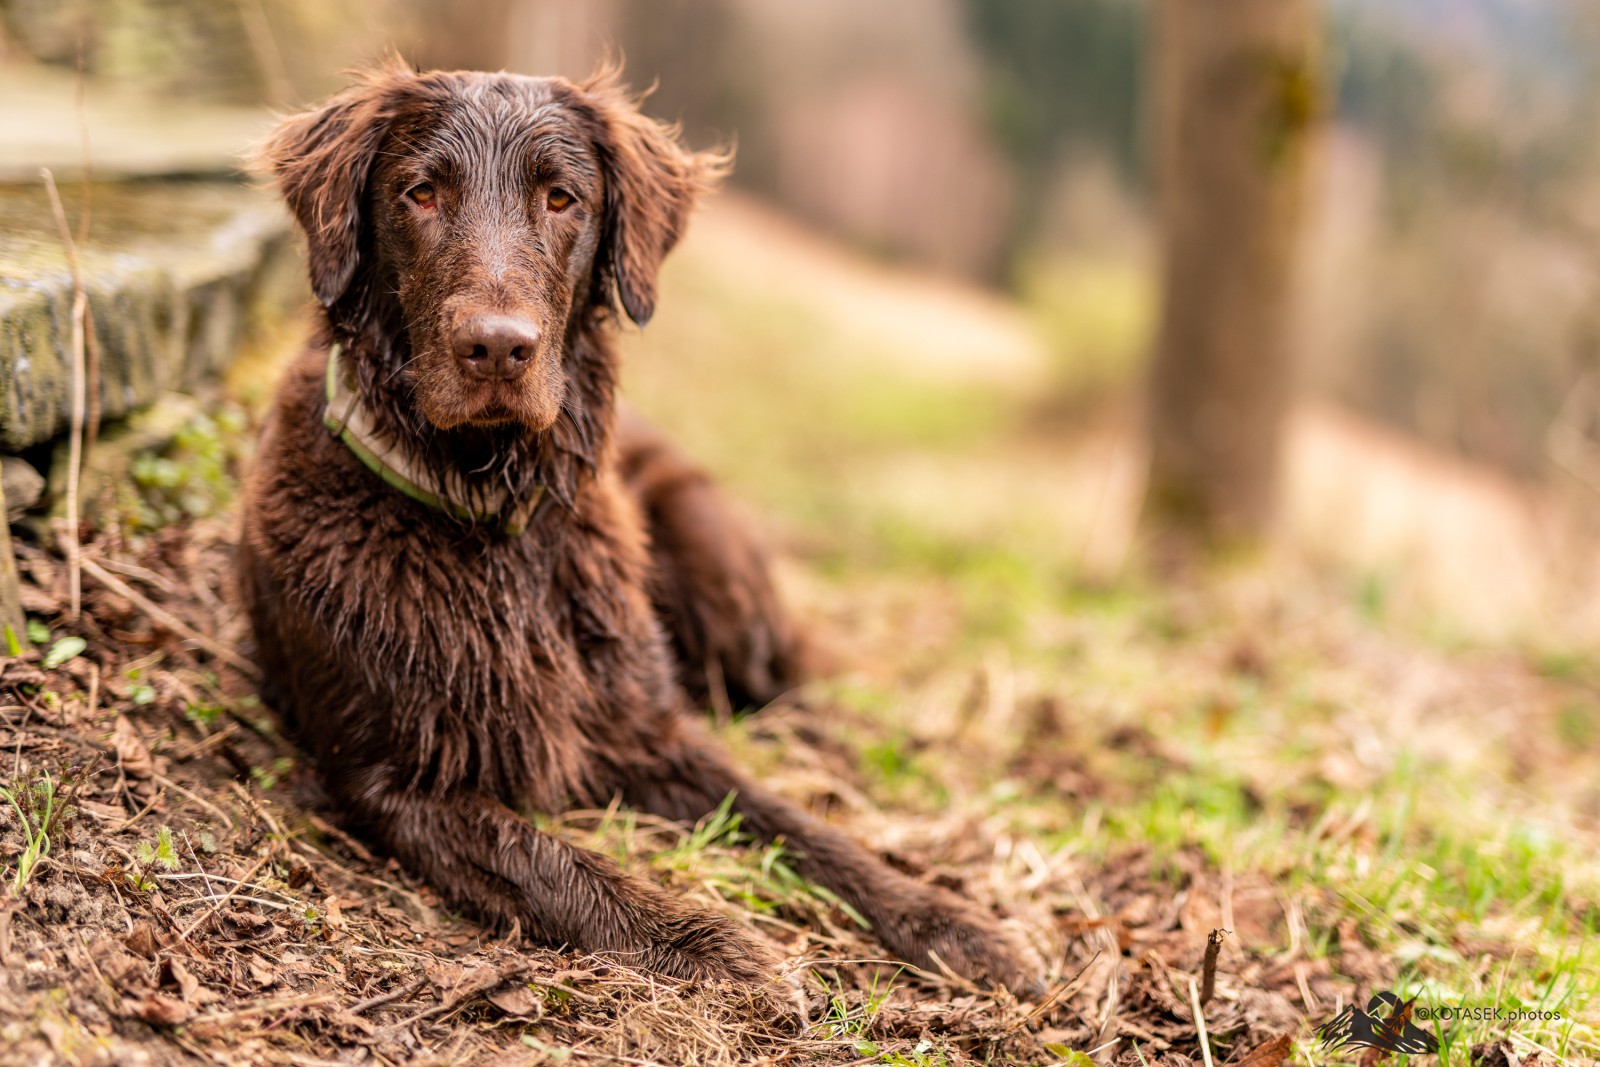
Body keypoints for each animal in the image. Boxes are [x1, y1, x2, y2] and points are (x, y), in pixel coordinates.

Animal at [236, 60, 1036, 1004]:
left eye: (561, 198)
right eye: (420, 193)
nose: (499, 348)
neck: (493, 506)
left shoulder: (649, 729)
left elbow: (798, 823)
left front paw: (951, 921)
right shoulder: (398, 780)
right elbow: (563, 867)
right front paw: (722, 945)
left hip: (714, 560)